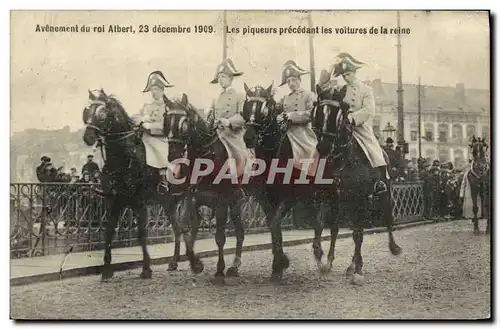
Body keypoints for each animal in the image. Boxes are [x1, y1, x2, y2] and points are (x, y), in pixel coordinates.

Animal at [81, 89, 202, 280]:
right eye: (88, 112)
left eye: (102, 113)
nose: (88, 137)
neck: (125, 157)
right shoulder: (114, 202)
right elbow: (108, 232)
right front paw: (107, 269)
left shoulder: (139, 203)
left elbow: (141, 234)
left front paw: (146, 268)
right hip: (168, 202)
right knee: (177, 229)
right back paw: (174, 262)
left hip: (189, 196)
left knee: (190, 224)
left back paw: (194, 261)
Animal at [162, 92, 252, 282]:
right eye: (166, 121)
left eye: (184, 123)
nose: (173, 155)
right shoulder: (191, 198)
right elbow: (186, 231)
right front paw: (196, 264)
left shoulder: (221, 201)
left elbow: (219, 237)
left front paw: (219, 269)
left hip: (236, 203)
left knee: (240, 232)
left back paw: (234, 266)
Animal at [310, 84, 404, 284]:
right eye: (318, 112)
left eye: (338, 114)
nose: (323, 147)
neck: (341, 160)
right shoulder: (329, 197)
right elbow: (322, 225)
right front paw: (321, 257)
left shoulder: (358, 199)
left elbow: (357, 234)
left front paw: (357, 268)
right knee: (339, 228)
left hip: (383, 195)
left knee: (386, 221)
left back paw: (391, 248)